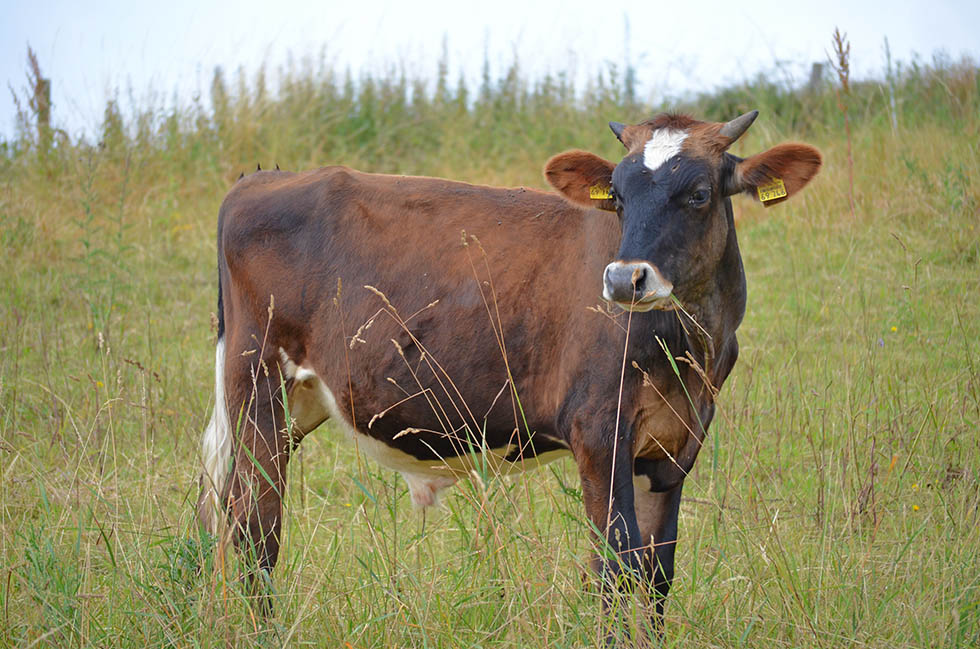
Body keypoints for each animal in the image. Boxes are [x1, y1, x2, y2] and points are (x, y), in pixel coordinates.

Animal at [197, 110, 820, 636]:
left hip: (294, 402)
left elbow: (657, 574)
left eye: (698, 194)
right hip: (256, 385)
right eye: (617, 197)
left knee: (225, 513)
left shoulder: (672, 447)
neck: (691, 350)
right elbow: (615, 566)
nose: (624, 279)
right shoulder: (599, 432)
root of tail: (261, 180)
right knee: (255, 530)